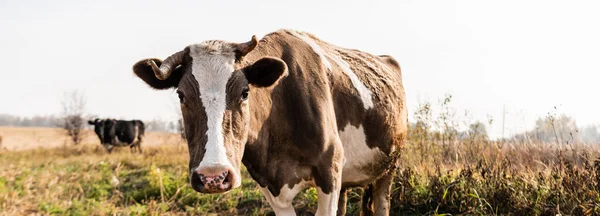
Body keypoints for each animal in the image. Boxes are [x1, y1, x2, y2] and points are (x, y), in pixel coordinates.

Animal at [131, 29, 408, 216]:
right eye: (181, 95)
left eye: (245, 92)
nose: (213, 177)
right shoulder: (269, 184)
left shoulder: (329, 170)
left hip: (389, 166)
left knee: (382, 202)